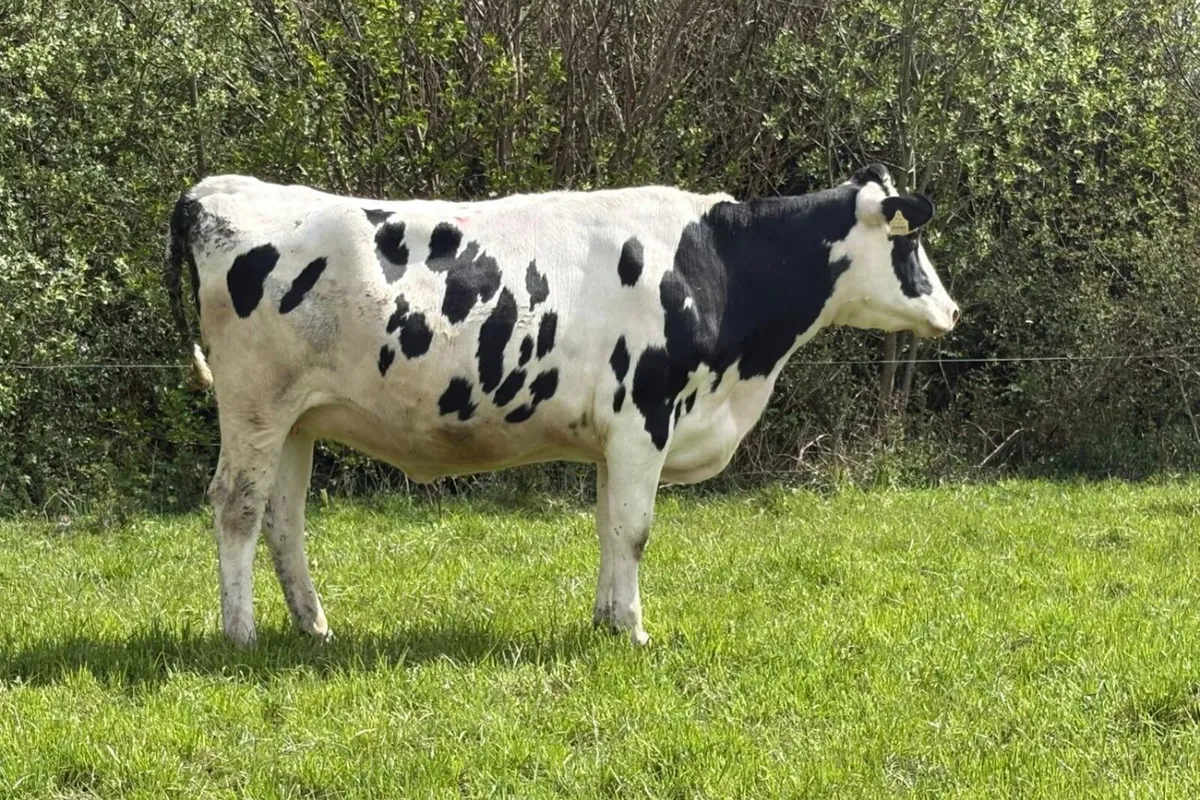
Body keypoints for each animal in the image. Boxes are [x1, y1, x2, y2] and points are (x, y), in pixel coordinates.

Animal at [165, 164, 959, 647]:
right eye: (909, 245)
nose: (952, 311)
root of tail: (216, 191)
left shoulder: (616, 435)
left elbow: (610, 527)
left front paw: (607, 622)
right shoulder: (646, 416)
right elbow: (636, 530)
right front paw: (634, 632)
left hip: (299, 418)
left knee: (284, 518)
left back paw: (315, 627)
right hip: (255, 404)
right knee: (237, 507)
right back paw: (241, 633)